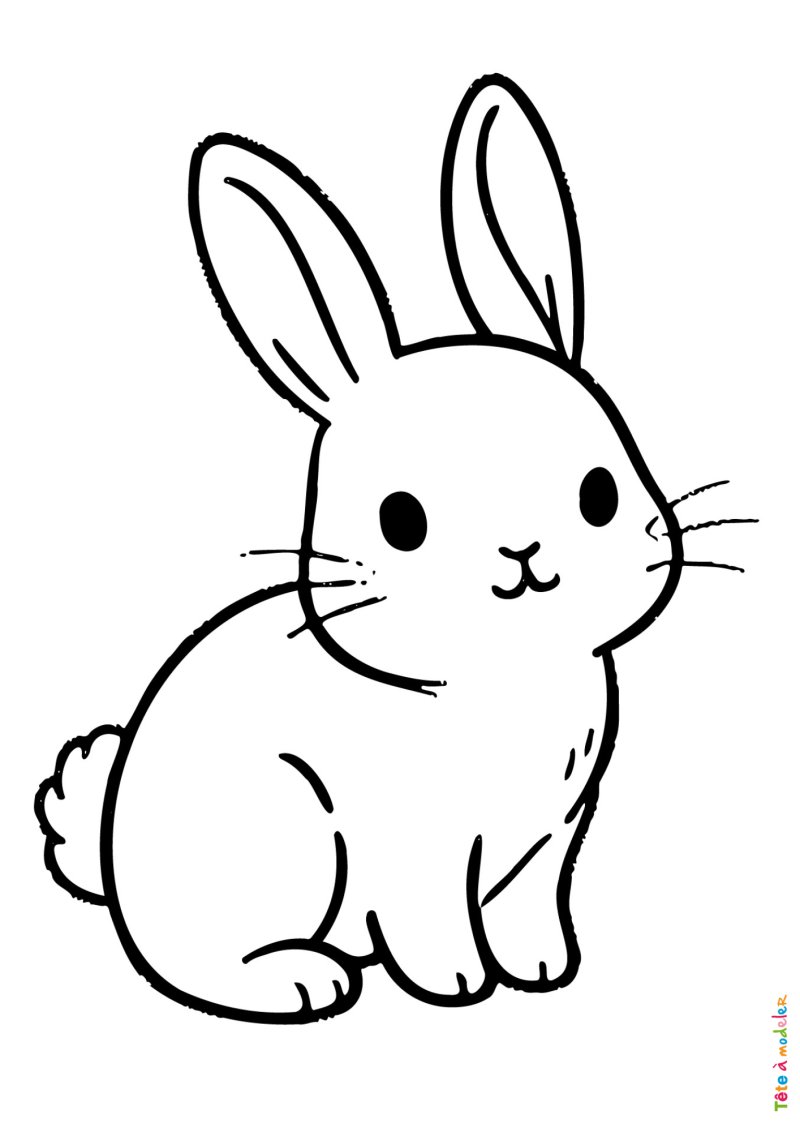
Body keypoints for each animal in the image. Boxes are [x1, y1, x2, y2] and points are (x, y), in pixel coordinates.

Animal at [36, 74, 691, 1024]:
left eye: (599, 494)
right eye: (401, 520)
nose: (524, 554)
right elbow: (431, 919)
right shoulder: (413, 847)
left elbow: (530, 907)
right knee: (197, 964)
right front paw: (456, 985)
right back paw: (302, 979)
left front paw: (541, 969)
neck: (501, 679)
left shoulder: (549, 844)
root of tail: (118, 866)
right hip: (280, 835)